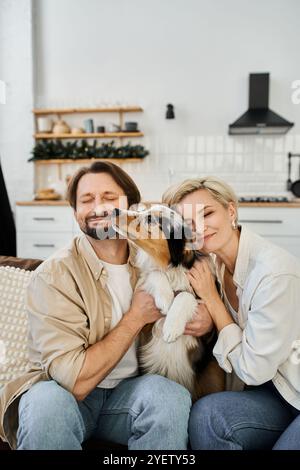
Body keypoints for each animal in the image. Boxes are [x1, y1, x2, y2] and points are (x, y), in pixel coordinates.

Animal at [111, 204, 224, 398]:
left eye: (150, 219)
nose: (114, 210)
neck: (172, 268)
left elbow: (185, 295)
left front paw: (172, 327)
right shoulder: (144, 327)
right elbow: (154, 274)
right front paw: (165, 298)